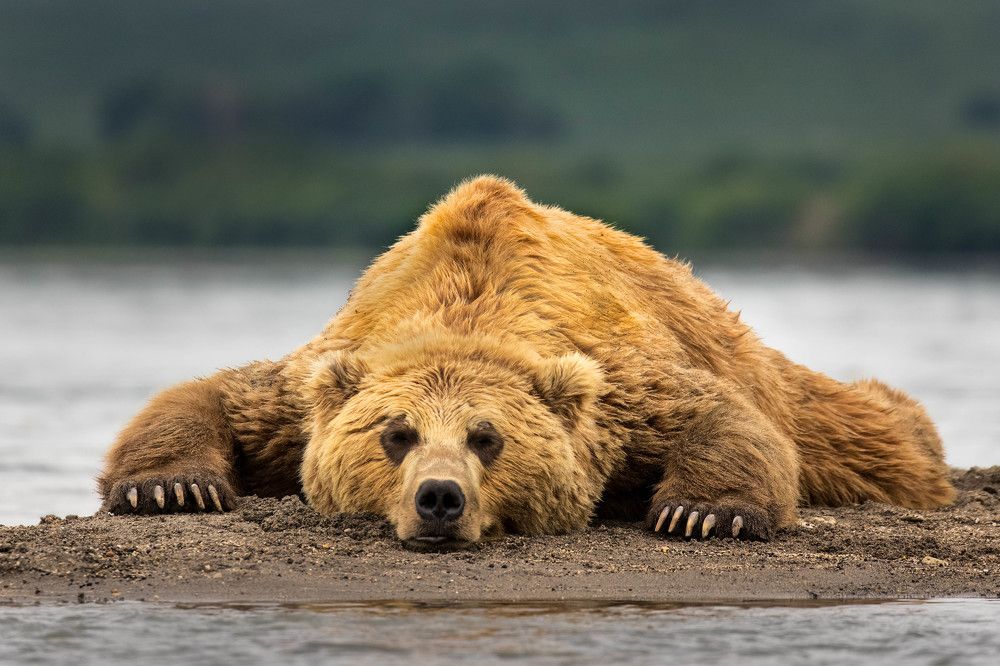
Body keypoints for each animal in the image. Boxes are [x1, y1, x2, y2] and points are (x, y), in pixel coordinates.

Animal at [98, 175, 955, 547]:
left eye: (487, 437)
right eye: (396, 434)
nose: (439, 498)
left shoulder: (620, 387)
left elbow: (716, 414)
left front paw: (704, 511)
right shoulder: (332, 362)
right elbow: (223, 395)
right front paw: (168, 487)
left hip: (753, 357)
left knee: (865, 434)